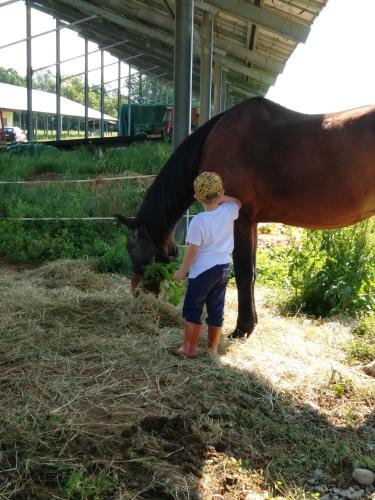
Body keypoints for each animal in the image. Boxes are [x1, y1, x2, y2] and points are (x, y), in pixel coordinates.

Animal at [116, 96, 375, 340]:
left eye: (131, 248)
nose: (137, 292)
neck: (214, 139)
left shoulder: (239, 221)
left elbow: (242, 273)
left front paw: (242, 328)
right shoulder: (253, 223)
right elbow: (252, 274)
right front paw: (252, 322)